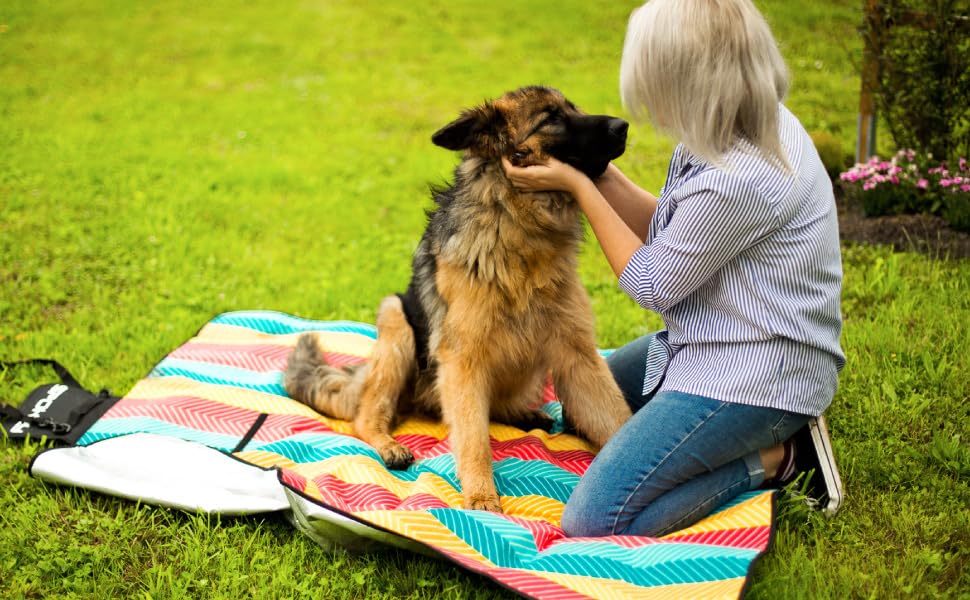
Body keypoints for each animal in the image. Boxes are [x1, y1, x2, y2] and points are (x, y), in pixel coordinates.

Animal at [286, 85, 636, 510]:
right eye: (551, 117)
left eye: (573, 108)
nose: (624, 125)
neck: (517, 226)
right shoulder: (462, 362)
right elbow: (472, 437)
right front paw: (482, 496)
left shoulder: (578, 353)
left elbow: (617, 418)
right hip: (398, 325)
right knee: (366, 416)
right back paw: (388, 445)